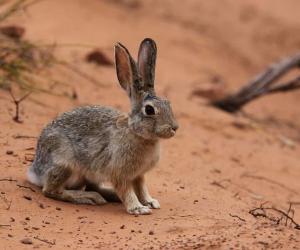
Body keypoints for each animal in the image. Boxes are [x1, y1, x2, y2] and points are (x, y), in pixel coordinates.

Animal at [27, 38, 178, 215]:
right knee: (51, 190)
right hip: (65, 164)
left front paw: (150, 202)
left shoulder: (138, 175)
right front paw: (138, 208)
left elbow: (141, 188)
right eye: (149, 110)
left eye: (168, 103)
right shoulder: (119, 173)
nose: (174, 127)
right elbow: (127, 191)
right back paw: (90, 198)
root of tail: (35, 171)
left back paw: (108, 195)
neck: (136, 132)